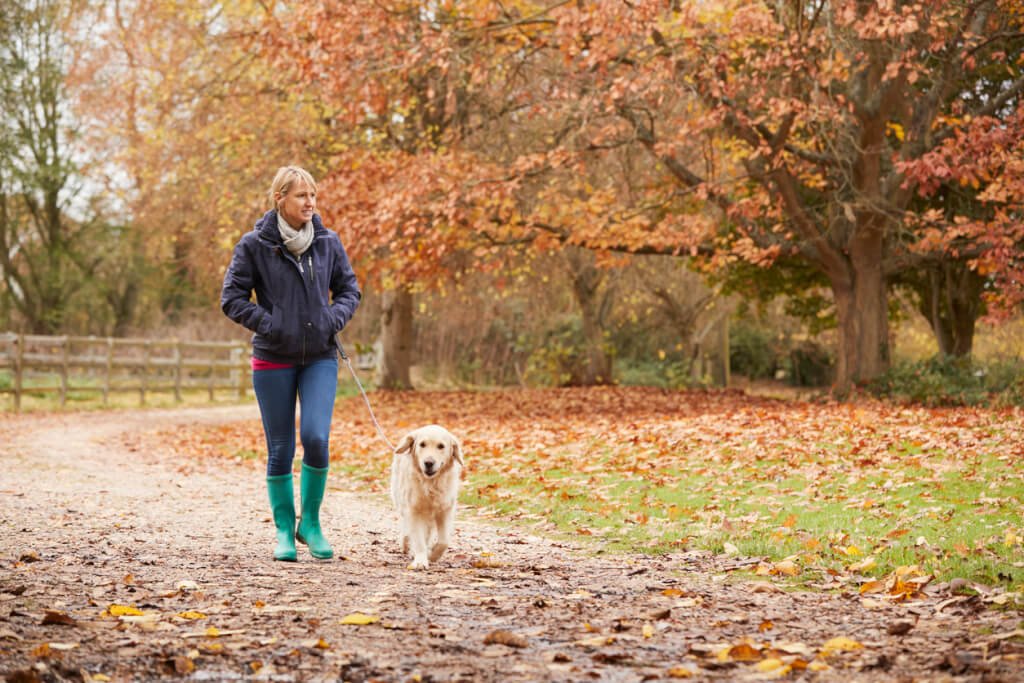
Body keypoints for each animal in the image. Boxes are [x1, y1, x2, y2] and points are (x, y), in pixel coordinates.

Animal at [391, 423, 464, 569]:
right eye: (422, 444)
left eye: (441, 446)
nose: (428, 462)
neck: (431, 484)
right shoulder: (414, 511)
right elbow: (418, 539)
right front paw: (420, 560)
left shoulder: (445, 510)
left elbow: (444, 541)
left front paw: (431, 555)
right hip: (400, 500)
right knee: (406, 526)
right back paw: (405, 542)